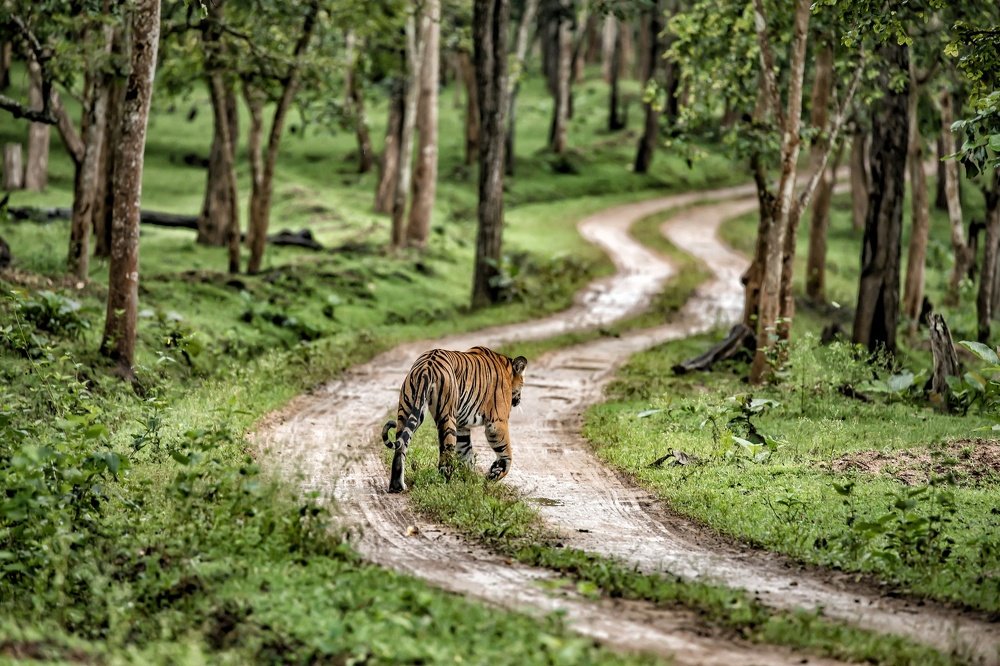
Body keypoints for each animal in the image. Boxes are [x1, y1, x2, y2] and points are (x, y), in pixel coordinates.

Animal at [381, 346, 528, 493]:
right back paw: (445, 487)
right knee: (445, 456)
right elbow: (506, 452)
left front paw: (470, 481)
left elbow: (466, 453)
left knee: (400, 447)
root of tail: (427, 365)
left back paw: (397, 486)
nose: (518, 400)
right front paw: (494, 474)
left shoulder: (462, 426)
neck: (506, 367)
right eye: (522, 384)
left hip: (408, 409)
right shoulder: (497, 422)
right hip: (447, 416)